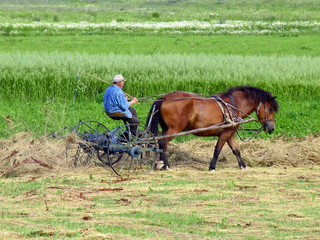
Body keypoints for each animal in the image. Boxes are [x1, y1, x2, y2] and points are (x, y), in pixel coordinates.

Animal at [146, 86, 278, 171]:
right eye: (270, 109)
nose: (271, 128)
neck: (233, 106)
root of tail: (164, 98)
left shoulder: (230, 134)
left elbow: (236, 150)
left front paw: (243, 166)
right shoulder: (225, 134)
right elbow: (217, 150)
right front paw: (212, 167)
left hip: (166, 129)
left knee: (163, 145)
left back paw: (163, 164)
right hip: (175, 129)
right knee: (162, 142)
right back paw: (166, 166)